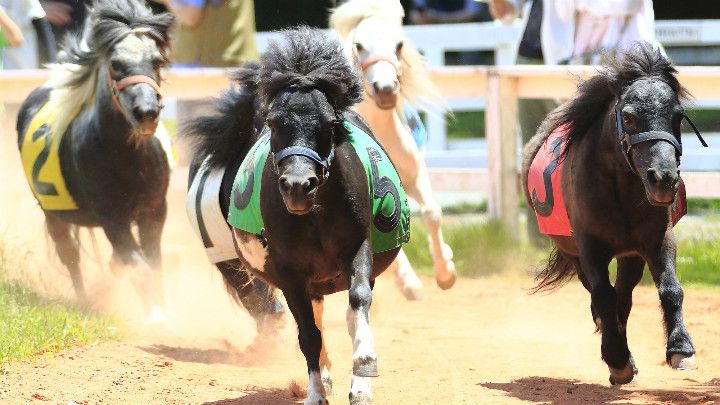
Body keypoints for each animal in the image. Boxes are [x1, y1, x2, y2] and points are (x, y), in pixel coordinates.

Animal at [16, 0, 174, 322]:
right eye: (115, 64)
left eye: (156, 61)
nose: (147, 112)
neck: (129, 160)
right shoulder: (112, 217)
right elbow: (138, 264)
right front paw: (154, 316)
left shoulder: (154, 210)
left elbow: (151, 262)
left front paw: (162, 308)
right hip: (53, 214)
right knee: (70, 255)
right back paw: (85, 299)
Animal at [183, 26, 408, 402]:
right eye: (274, 124)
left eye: (330, 124)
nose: (298, 185)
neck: (314, 217)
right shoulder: (289, 273)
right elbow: (308, 334)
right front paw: (316, 392)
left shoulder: (357, 248)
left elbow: (358, 301)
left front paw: (363, 371)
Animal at [330, 0, 456, 298]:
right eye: (359, 45)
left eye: (398, 44)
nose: (386, 89)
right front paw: (409, 283)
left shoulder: (415, 174)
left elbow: (432, 213)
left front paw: (446, 271)